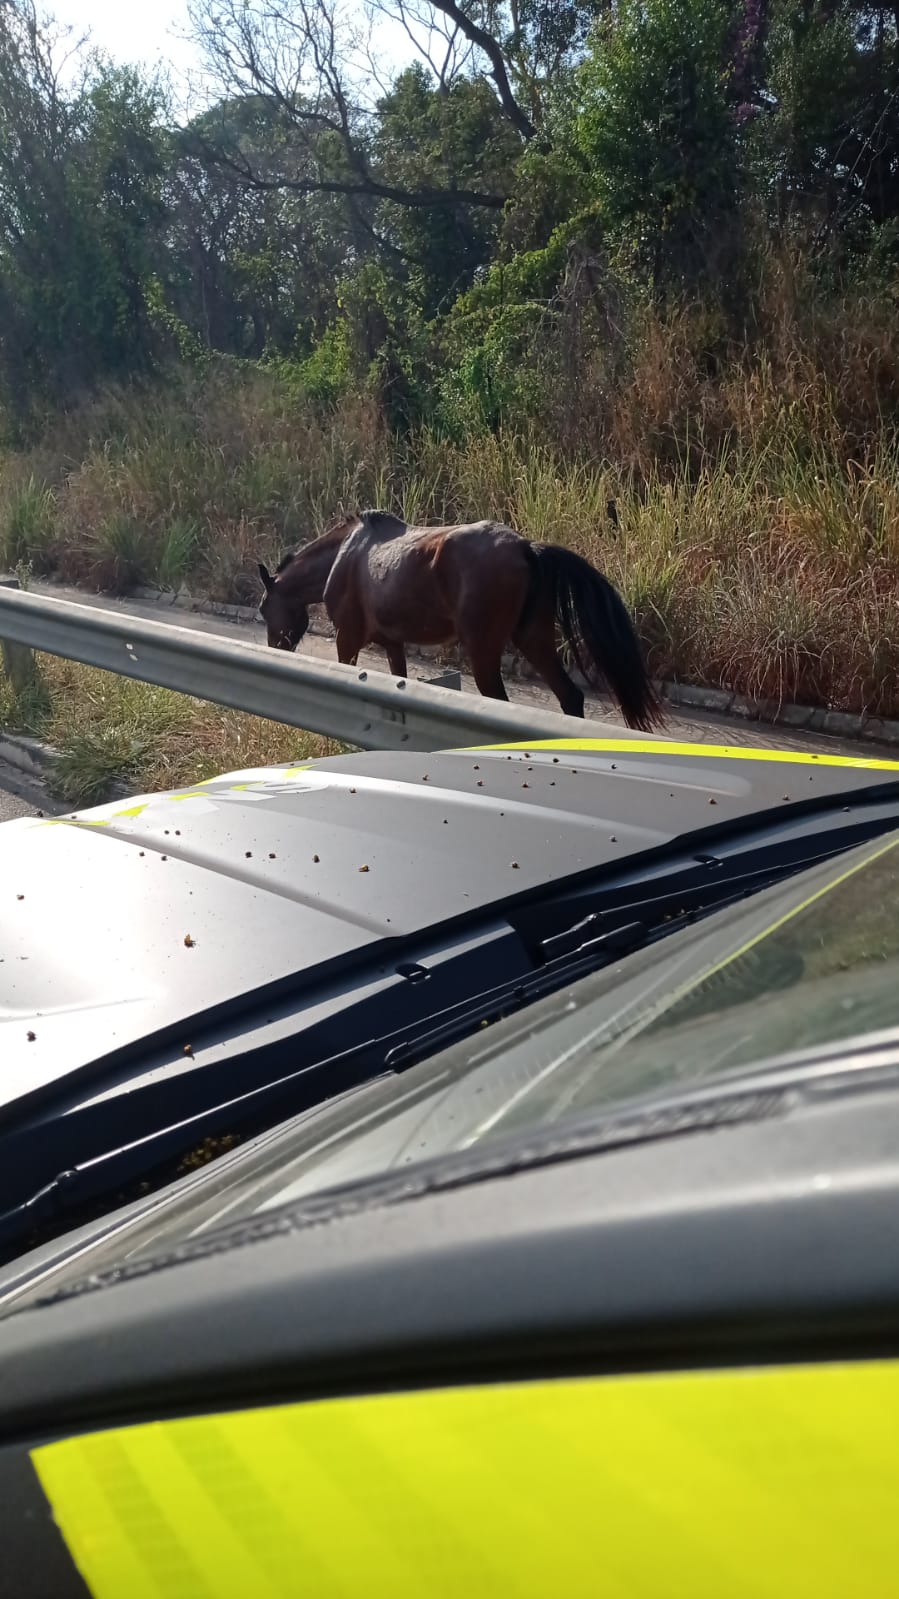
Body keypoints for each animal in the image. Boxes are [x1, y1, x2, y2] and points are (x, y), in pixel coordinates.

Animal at [257, 509, 662, 731]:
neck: (345, 555)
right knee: (570, 697)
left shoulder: (348, 640)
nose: (276, 647)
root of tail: (527, 548)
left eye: (263, 609)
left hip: (485, 651)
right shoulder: (393, 645)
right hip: (533, 640)